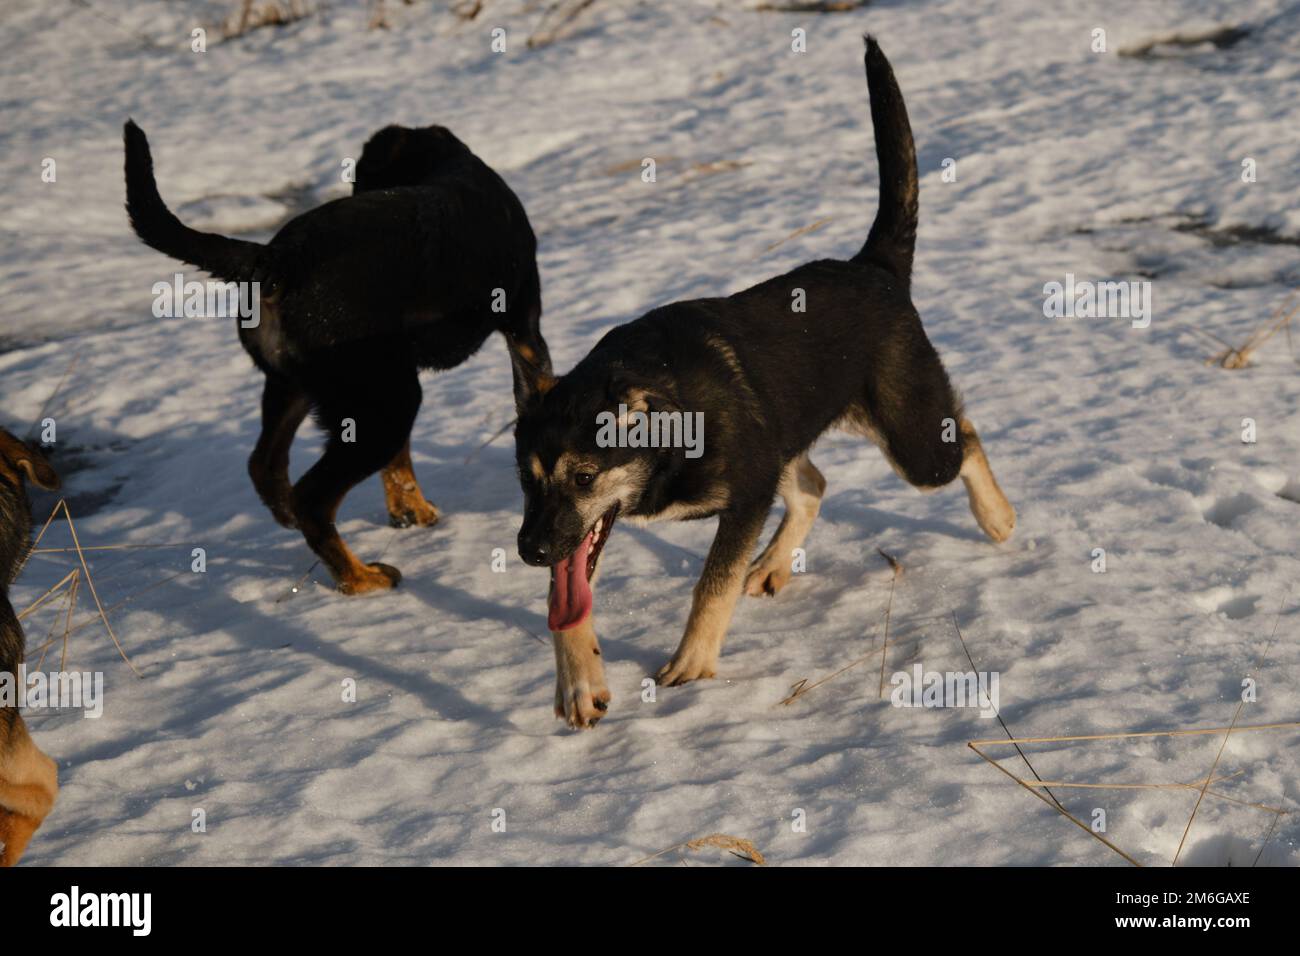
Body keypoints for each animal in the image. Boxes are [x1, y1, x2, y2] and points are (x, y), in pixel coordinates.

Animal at [122, 123, 548, 595]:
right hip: (386, 403)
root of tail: (280, 260)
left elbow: (399, 462)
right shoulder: (525, 335)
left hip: (309, 386)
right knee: (313, 498)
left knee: (266, 467)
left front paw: (410, 513)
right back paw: (360, 578)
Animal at [509, 35, 1013, 723]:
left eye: (584, 476)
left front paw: (692, 664)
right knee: (815, 483)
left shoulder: (744, 495)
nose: (528, 551)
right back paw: (774, 564)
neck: (669, 422)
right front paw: (579, 682)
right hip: (787, 432)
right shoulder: (580, 530)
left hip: (909, 441)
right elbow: (566, 598)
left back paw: (997, 516)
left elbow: (711, 585)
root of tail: (875, 267)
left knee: (963, 436)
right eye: (524, 480)